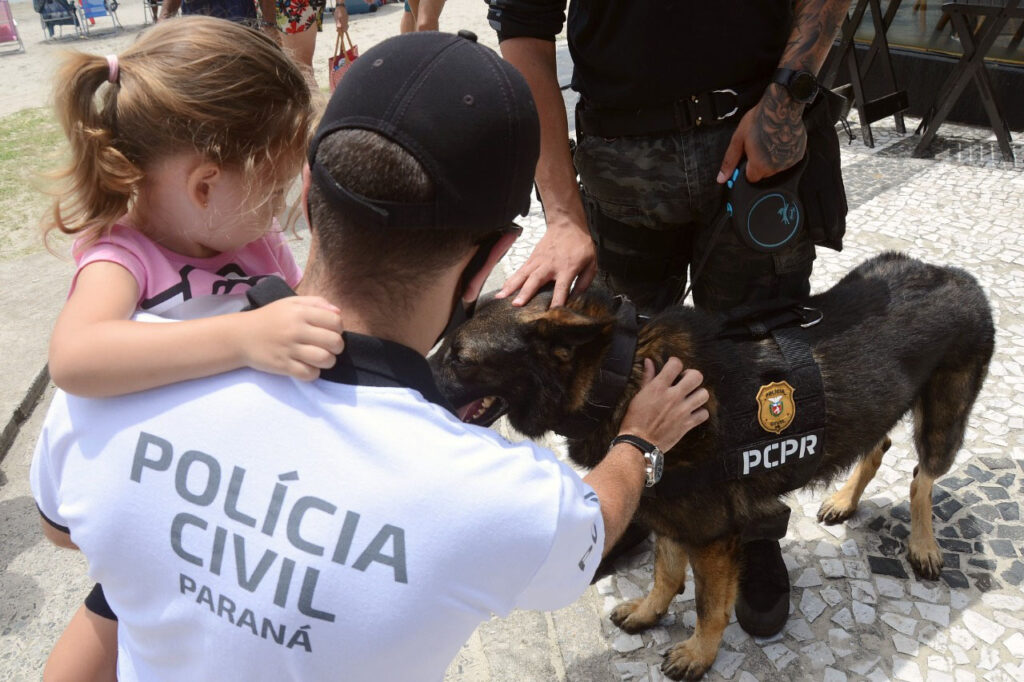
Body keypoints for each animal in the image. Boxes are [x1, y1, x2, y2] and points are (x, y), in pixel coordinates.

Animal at [430, 251, 991, 675]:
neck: (619, 371)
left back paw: (923, 544)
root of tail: (956, 275)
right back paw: (843, 498)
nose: (411, 382)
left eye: (460, 358)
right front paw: (650, 613)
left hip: (942, 422)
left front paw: (700, 653)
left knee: (921, 477)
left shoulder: (712, 536)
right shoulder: (669, 513)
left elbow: (706, 604)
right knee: (879, 445)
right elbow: (665, 574)